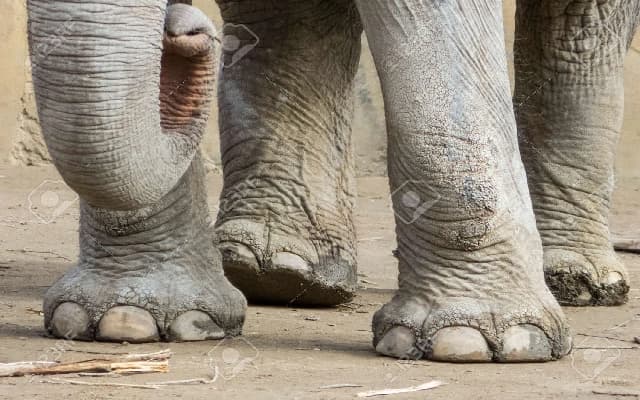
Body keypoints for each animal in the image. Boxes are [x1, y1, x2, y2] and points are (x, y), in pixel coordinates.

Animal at [26, 0, 640, 362]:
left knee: (581, 29)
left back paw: (577, 285)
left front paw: (474, 343)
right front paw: (122, 323)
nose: (183, 29)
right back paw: (273, 272)